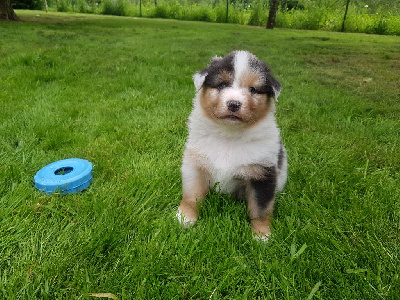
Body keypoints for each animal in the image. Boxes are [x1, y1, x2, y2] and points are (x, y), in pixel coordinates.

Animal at [178, 49, 288, 241]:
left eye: (253, 89)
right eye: (222, 85)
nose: (234, 104)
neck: (229, 135)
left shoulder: (263, 173)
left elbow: (260, 208)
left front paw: (262, 235)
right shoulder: (195, 163)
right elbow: (191, 194)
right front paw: (185, 218)